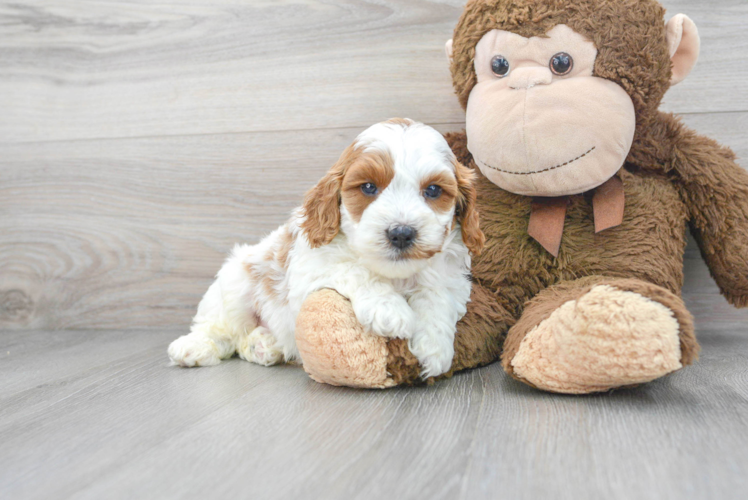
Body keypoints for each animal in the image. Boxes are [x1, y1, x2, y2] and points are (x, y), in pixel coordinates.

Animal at [168, 119, 486, 378]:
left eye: (433, 190)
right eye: (368, 187)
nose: (401, 233)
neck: (395, 274)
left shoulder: (450, 276)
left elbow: (437, 295)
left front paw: (434, 347)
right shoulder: (311, 267)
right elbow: (355, 270)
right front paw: (390, 309)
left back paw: (264, 345)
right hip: (235, 284)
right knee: (220, 329)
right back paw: (193, 347)